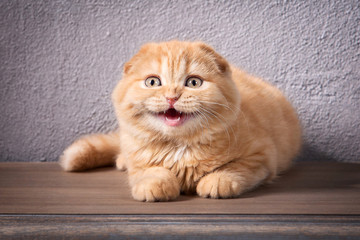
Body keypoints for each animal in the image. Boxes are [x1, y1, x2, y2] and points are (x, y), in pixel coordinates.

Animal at [60, 40, 302, 201]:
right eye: (153, 82)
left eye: (193, 82)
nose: (172, 96)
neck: (179, 146)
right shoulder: (138, 158)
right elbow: (150, 170)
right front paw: (155, 184)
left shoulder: (263, 156)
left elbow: (235, 167)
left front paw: (217, 181)